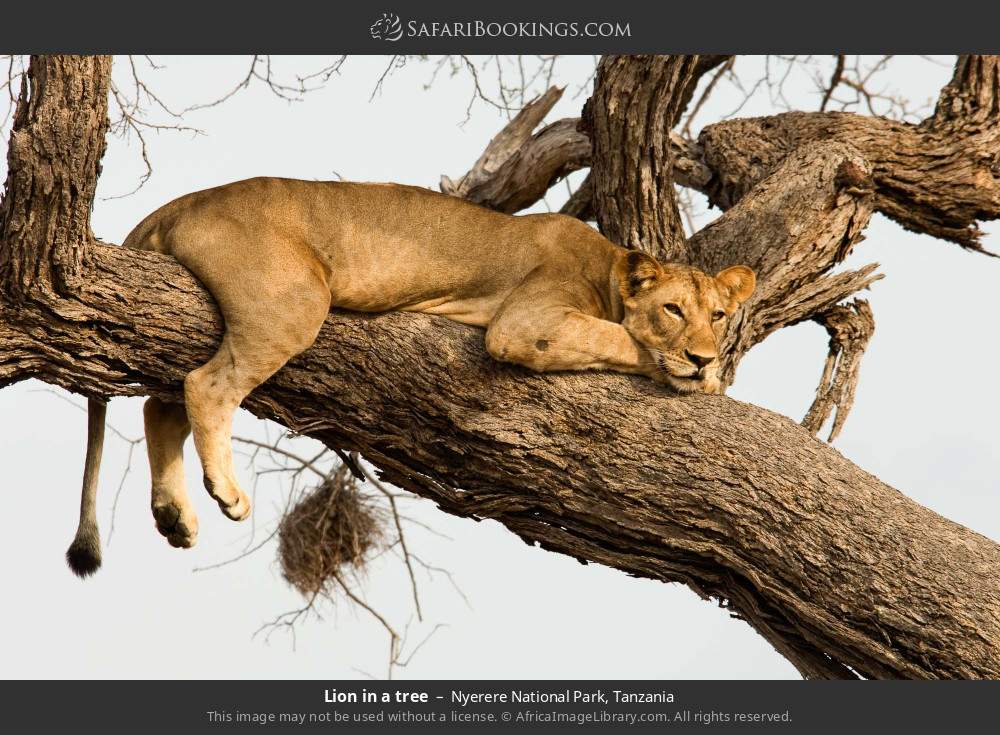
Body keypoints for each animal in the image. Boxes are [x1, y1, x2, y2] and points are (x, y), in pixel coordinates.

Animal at [65, 178, 755, 577]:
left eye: (718, 314)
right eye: (674, 310)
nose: (702, 352)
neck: (610, 270)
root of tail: (181, 201)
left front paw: (707, 369)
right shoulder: (525, 322)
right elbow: (620, 338)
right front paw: (698, 376)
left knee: (161, 403)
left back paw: (174, 517)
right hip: (295, 300)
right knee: (205, 387)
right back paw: (226, 494)